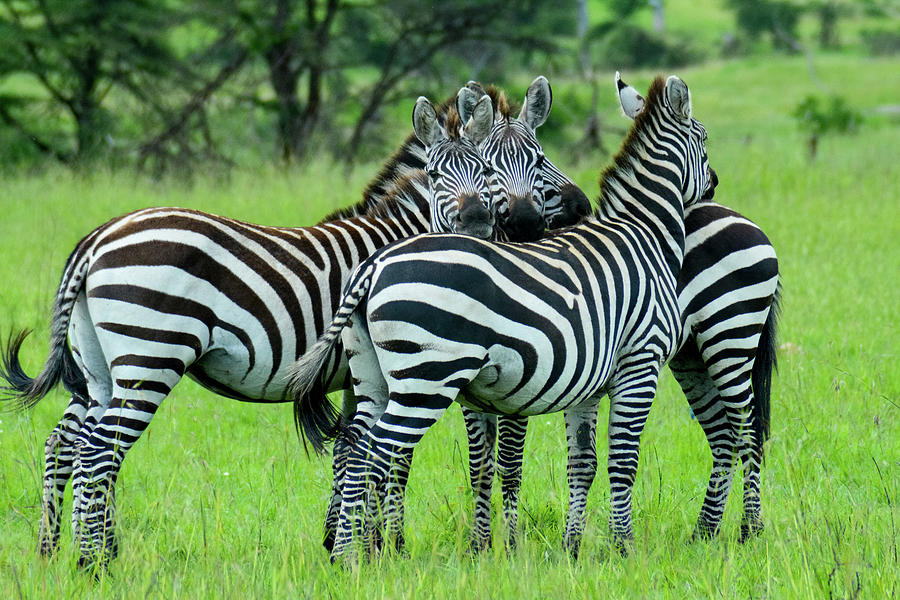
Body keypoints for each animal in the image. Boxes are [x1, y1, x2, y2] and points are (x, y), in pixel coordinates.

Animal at [292, 71, 712, 564]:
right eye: (705, 140)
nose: (715, 184)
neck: (644, 232)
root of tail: (374, 266)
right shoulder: (639, 363)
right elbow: (622, 461)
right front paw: (623, 548)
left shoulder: (590, 381)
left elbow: (582, 462)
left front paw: (572, 548)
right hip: (425, 380)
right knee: (378, 456)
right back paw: (355, 556)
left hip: (373, 377)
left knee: (356, 452)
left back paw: (346, 555)